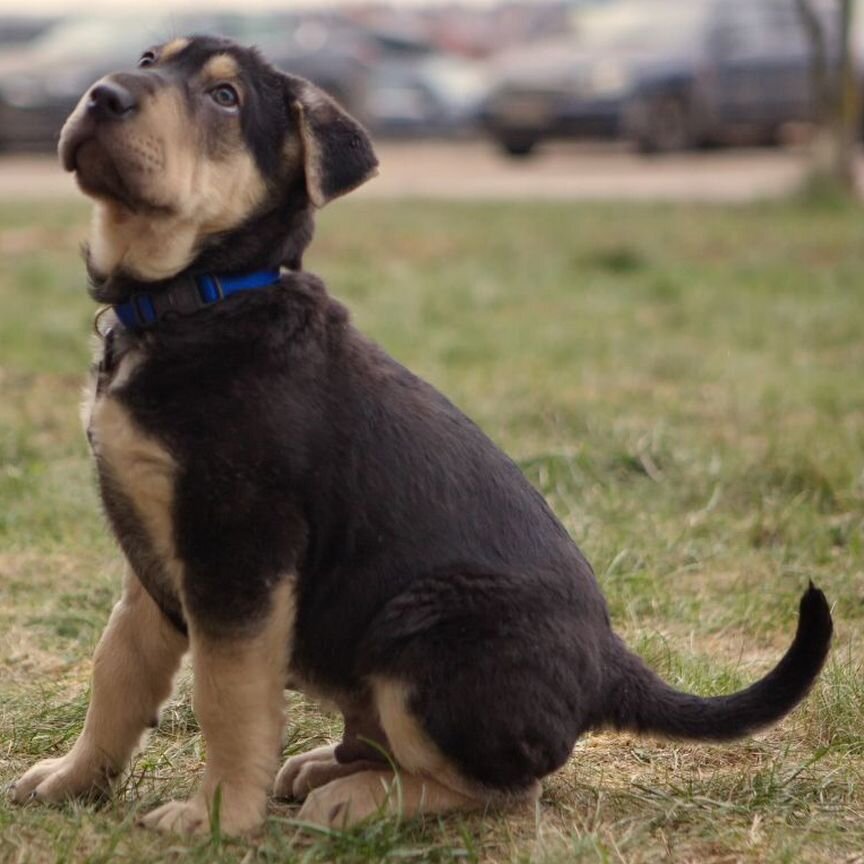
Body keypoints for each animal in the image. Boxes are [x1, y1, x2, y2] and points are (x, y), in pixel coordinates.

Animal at [8, 37, 832, 832]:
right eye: (149, 62)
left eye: (225, 96)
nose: (103, 95)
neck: (195, 301)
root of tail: (607, 662)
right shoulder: (152, 556)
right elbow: (117, 672)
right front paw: (72, 782)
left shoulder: (239, 554)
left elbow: (229, 698)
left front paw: (216, 817)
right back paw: (333, 768)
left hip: (422, 631)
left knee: (508, 788)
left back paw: (359, 801)